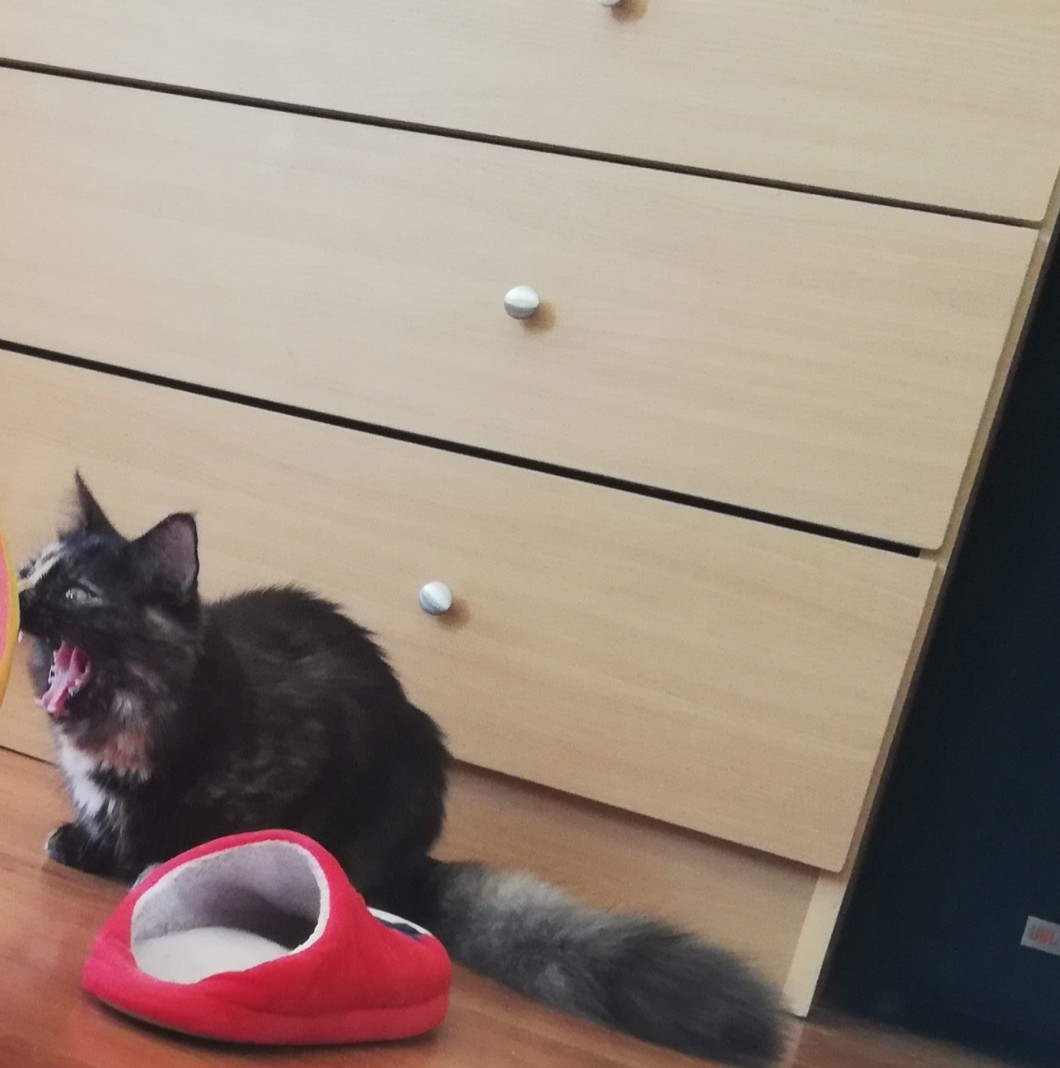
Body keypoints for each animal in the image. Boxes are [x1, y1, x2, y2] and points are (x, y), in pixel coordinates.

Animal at [17, 473, 784, 1067]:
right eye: (31, 571)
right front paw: (89, 844)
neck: (135, 728)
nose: (19, 599)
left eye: (78, 594)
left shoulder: (315, 746)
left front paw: (168, 862)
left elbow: (215, 834)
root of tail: (420, 863)